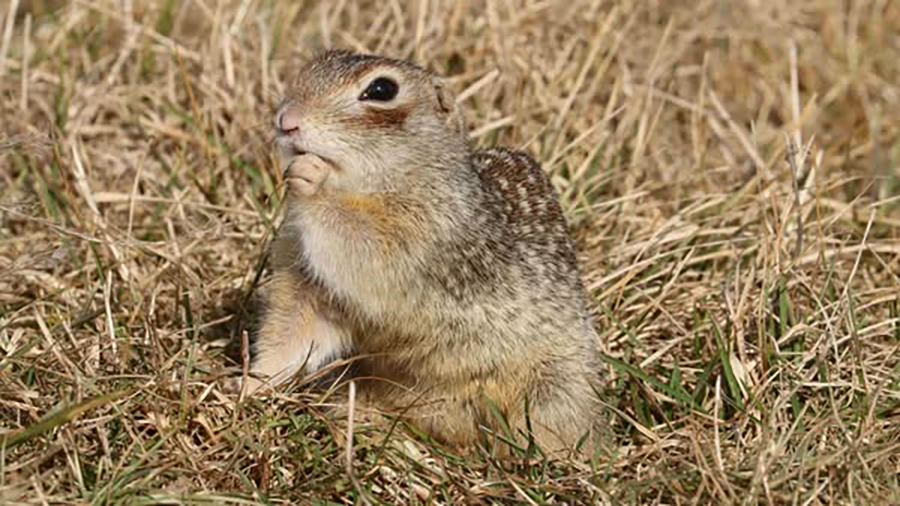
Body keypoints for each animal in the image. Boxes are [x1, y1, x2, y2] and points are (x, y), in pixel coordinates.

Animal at [244, 50, 604, 454]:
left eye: (381, 89)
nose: (285, 120)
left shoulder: (427, 237)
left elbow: (365, 242)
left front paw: (312, 179)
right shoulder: (305, 281)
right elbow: (292, 332)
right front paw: (249, 385)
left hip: (554, 387)